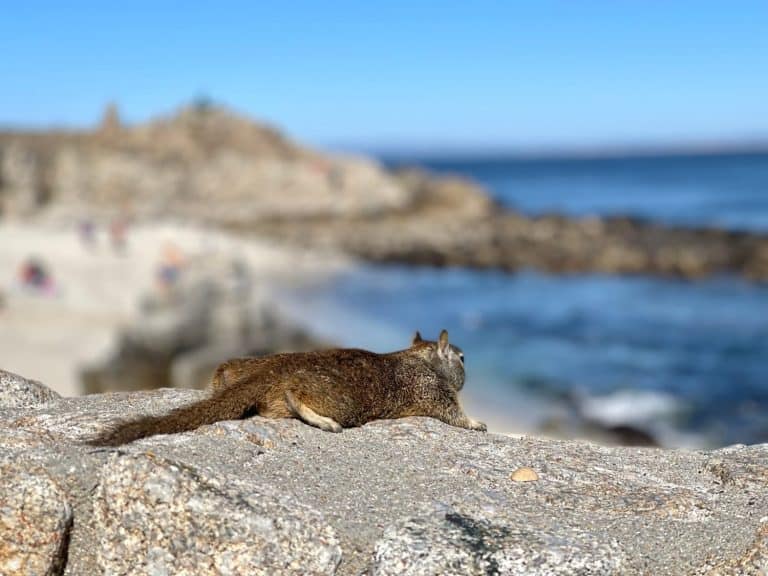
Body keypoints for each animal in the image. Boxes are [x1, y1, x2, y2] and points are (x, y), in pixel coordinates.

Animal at [88, 329, 486, 446]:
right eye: (463, 358)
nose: (468, 363)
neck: (419, 357)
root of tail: (271, 371)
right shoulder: (432, 390)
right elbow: (452, 412)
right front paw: (477, 423)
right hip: (340, 399)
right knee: (296, 398)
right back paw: (324, 421)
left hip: (239, 366)